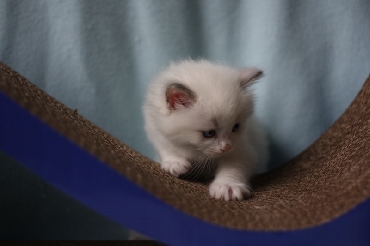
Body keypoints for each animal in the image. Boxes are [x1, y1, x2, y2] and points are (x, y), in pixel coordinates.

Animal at [143, 60, 268, 202]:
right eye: (209, 133)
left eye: (235, 127)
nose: (226, 147)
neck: (195, 151)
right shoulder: (154, 129)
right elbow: (165, 146)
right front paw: (174, 162)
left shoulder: (242, 149)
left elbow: (233, 167)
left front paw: (228, 186)